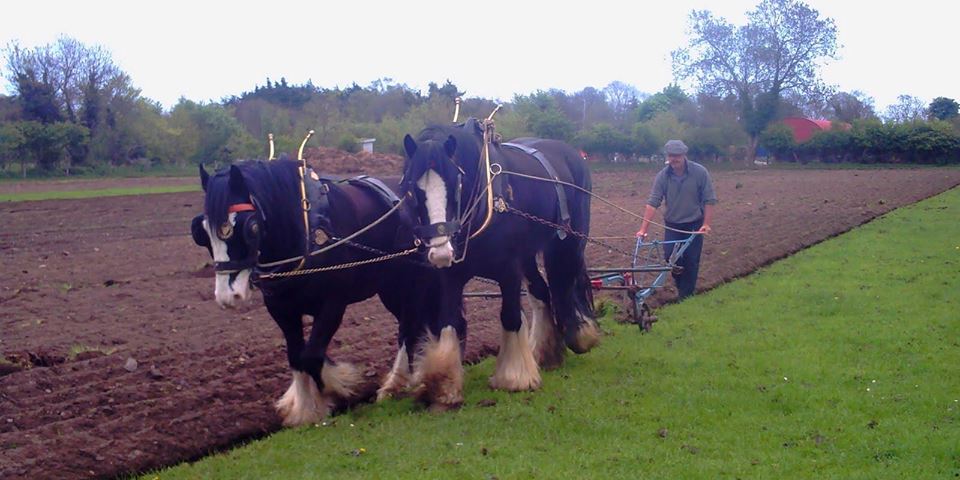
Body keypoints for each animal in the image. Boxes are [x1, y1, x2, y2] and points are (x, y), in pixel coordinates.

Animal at [192, 159, 442, 426]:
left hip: (411, 285)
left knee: (408, 328)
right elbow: (296, 357)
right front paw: (304, 409)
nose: (228, 297)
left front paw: (333, 391)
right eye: (202, 231)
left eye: (250, 226)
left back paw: (395, 384)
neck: (306, 234)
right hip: (389, 290)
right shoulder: (281, 310)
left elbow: (311, 356)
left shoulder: (333, 304)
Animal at [400, 118, 600, 406]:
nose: (440, 253)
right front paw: (443, 384)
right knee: (542, 292)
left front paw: (515, 377)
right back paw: (546, 351)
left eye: (456, 184)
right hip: (529, 256)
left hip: (569, 242)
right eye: (413, 190)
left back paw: (580, 335)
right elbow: (448, 321)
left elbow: (510, 316)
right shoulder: (452, 276)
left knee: (564, 283)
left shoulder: (509, 271)